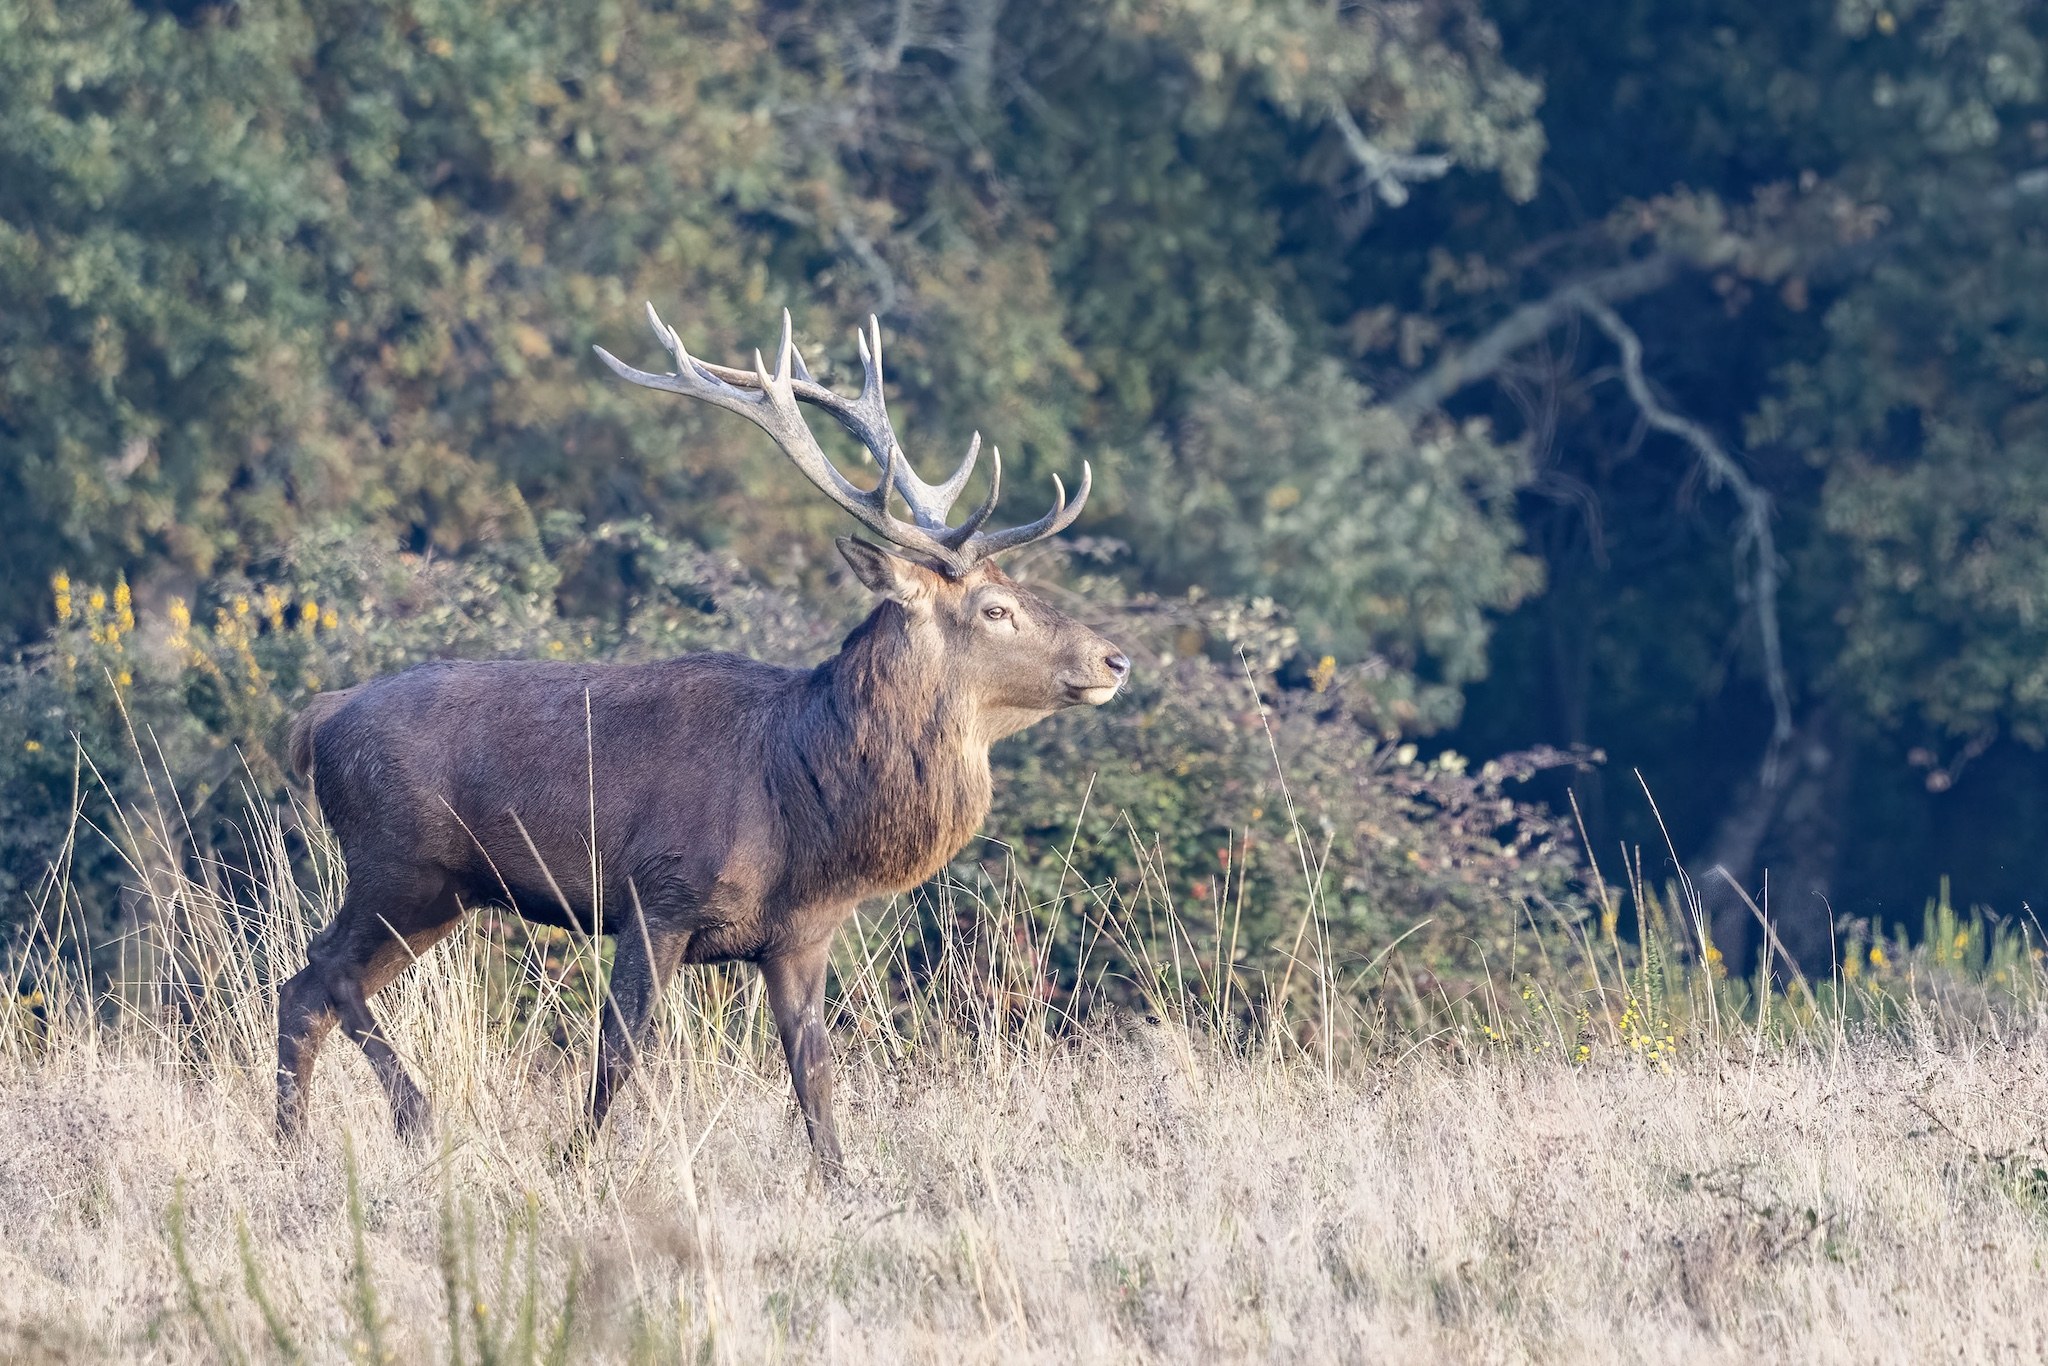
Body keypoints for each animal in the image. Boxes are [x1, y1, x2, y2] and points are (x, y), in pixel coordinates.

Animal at [274, 303, 1128, 1178]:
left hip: (442, 891)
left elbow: (815, 1075)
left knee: (302, 992)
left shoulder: (800, 938)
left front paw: (840, 1181)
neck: (803, 808)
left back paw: (292, 1147)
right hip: (398, 861)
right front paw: (570, 1162)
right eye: (996, 608)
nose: (1114, 659)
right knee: (324, 974)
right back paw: (413, 1116)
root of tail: (321, 716)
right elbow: (619, 1048)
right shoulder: (657, 897)